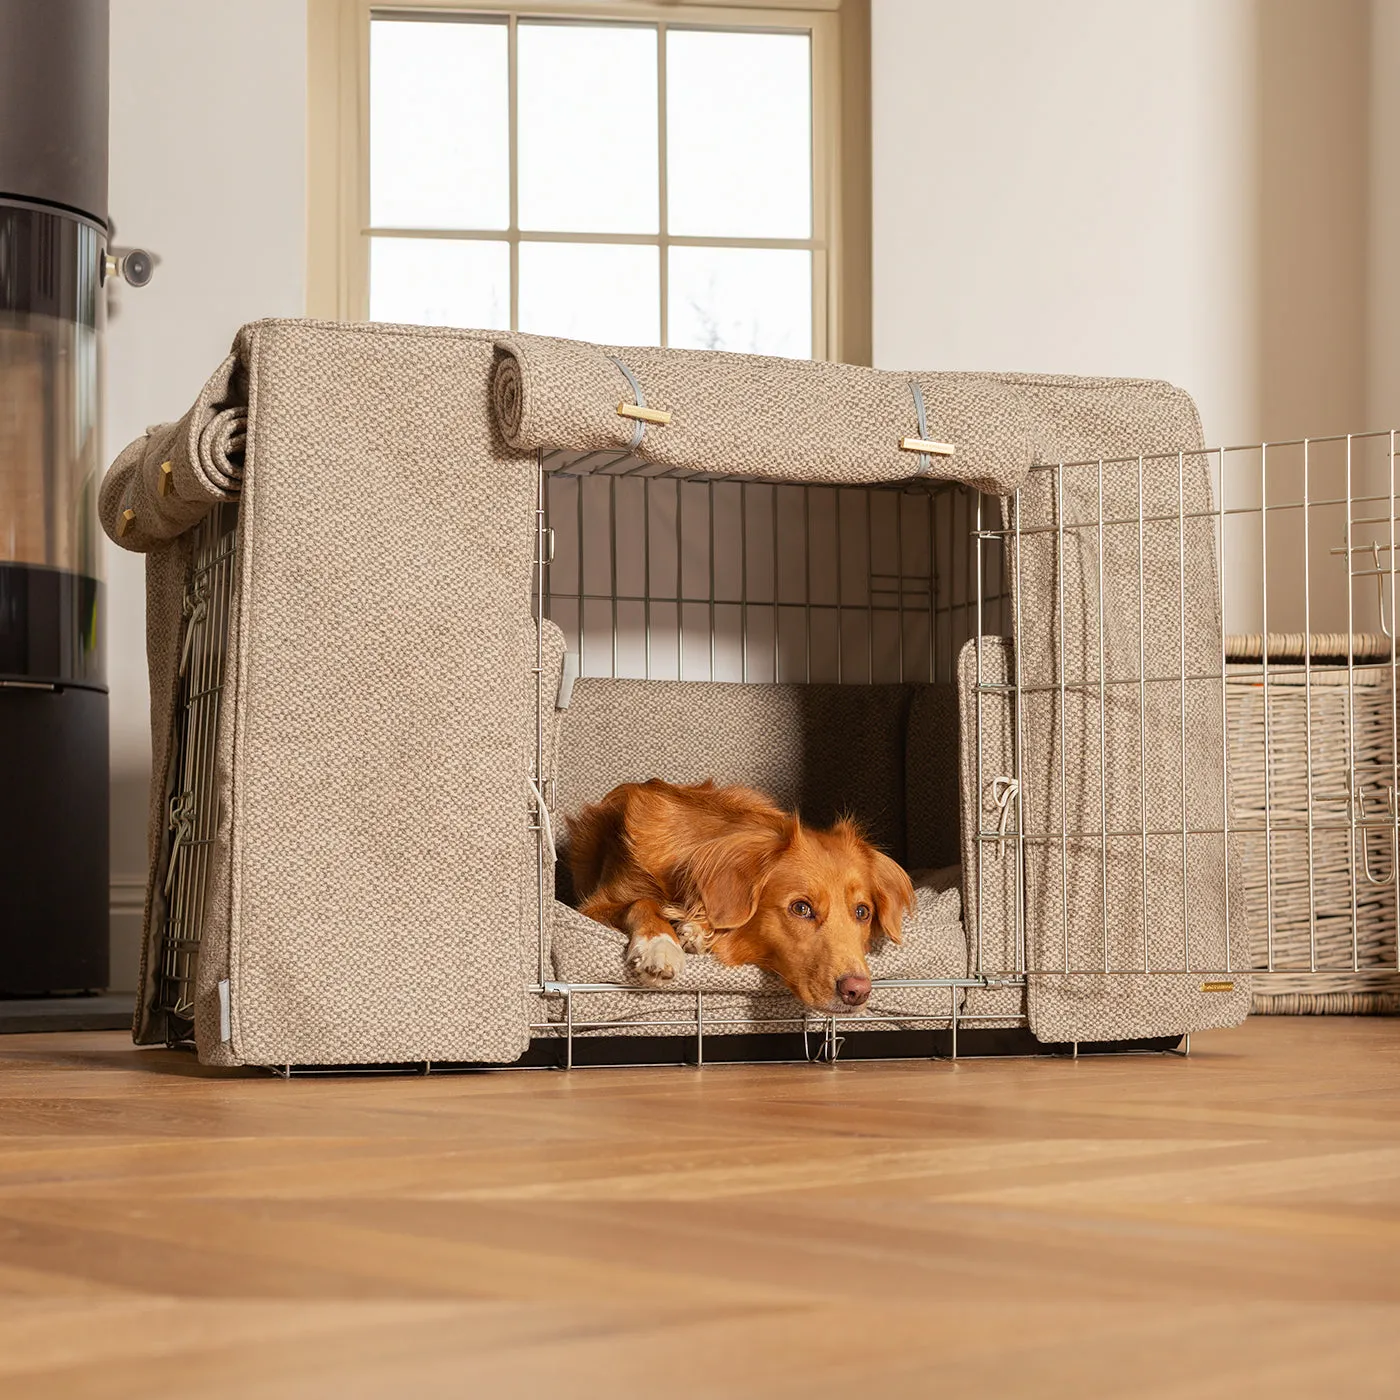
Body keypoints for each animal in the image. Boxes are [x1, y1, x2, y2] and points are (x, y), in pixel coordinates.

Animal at [568, 778, 918, 1019]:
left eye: (862, 912)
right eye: (801, 908)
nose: (857, 991)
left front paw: (696, 931)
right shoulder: (593, 906)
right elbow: (640, 902)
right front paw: (660, 946)